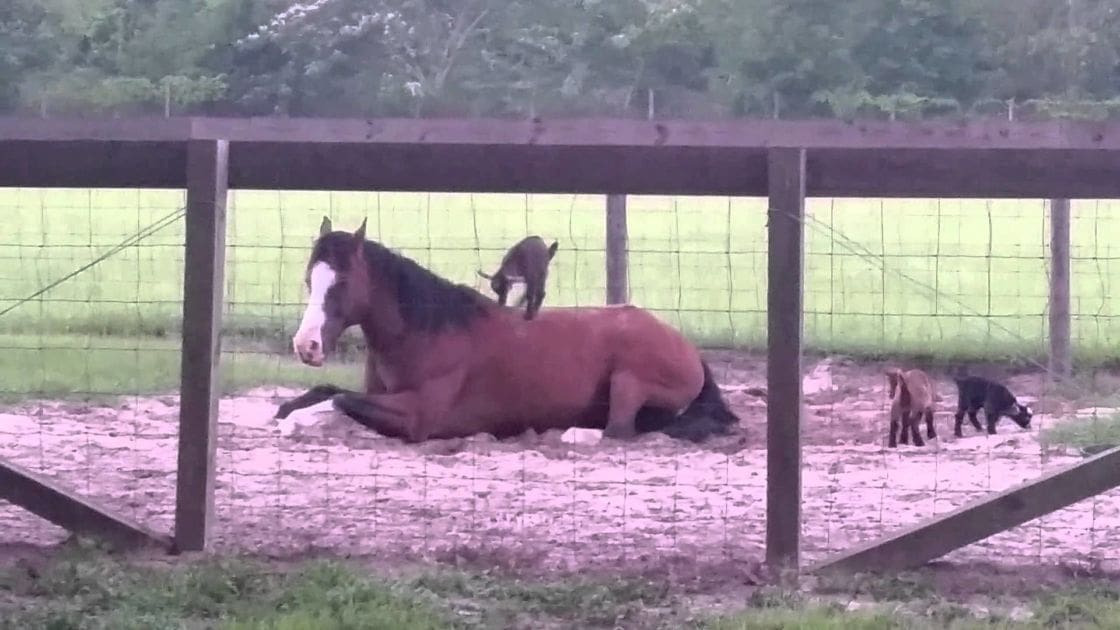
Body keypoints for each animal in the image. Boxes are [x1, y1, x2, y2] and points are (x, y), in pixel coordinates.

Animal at [273, 217, 740, 444]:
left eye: (342, 283)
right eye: (309, 279)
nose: (306, 346)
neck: (429, 331)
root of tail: (688, 348)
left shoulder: (418, 417)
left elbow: (338, 400)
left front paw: (296, 421)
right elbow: (326, 391)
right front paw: (286, 413)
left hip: (629, 380)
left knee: (619, 431)